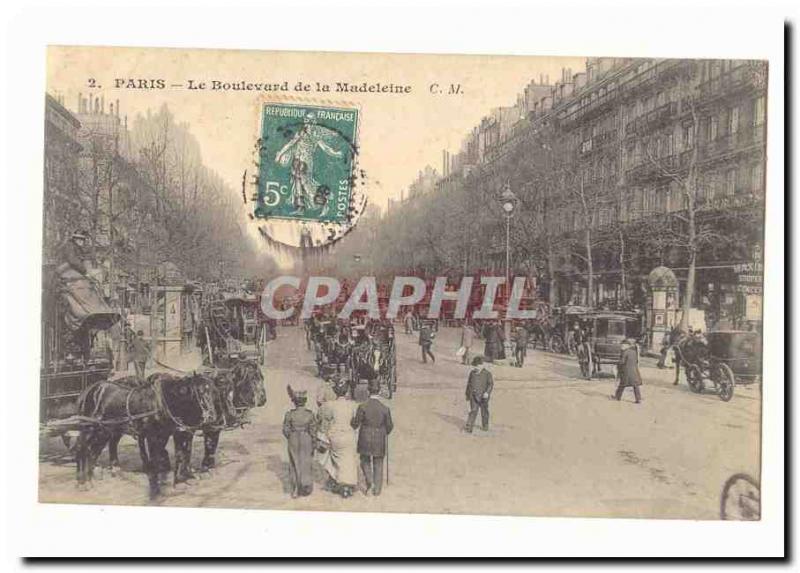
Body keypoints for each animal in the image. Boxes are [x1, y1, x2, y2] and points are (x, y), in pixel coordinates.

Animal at [76, 370, 217, 496]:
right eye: (199, 391)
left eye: (213, 391)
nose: (211, 416)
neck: (164, 402)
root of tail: (90, 390)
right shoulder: (153, 437)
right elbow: (156, 459)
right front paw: (155, 489)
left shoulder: (173, 434)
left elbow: (182, 455)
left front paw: (182, 481)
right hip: (91, 430)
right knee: (83, 450)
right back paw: (82, 482)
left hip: (106, 431)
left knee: (96, 450)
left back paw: (95, 476)